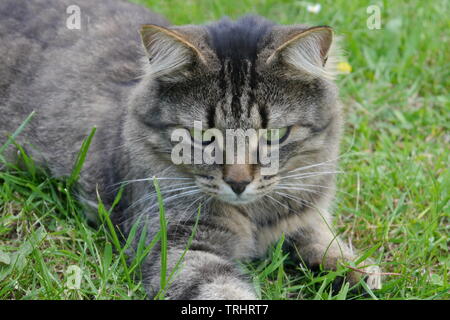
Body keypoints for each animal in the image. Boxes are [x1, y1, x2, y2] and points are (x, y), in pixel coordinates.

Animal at [0, 0, 380, 300]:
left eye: (275, 135)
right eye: (202, 136)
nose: (238, 183)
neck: (254, 218)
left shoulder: (303, 213)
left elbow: (322, 241)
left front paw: (358, 272)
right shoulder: (179, 245)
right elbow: (224, 290)